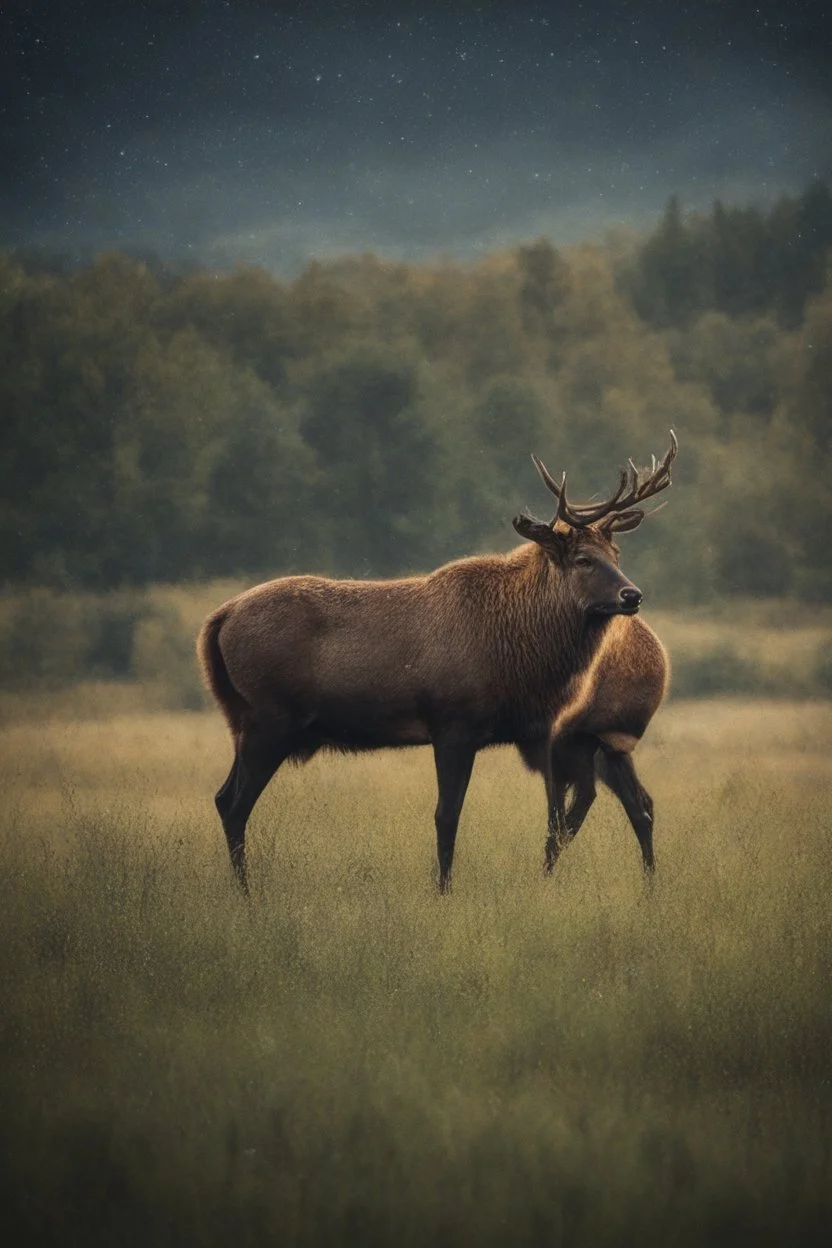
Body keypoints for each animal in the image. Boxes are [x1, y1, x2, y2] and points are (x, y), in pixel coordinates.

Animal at [197, 434, 678, 893]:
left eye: (616, 556)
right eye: (583, 559)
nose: (631, 595)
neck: (521, 653)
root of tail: (218, 621)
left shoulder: (540, 732)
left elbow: (553, 815)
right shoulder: (453, 723)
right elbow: (448, 815)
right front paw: (443, 890)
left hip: (244, 722)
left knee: (223, 798)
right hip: (270, 720)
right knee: (235, 804)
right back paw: (246, 893)